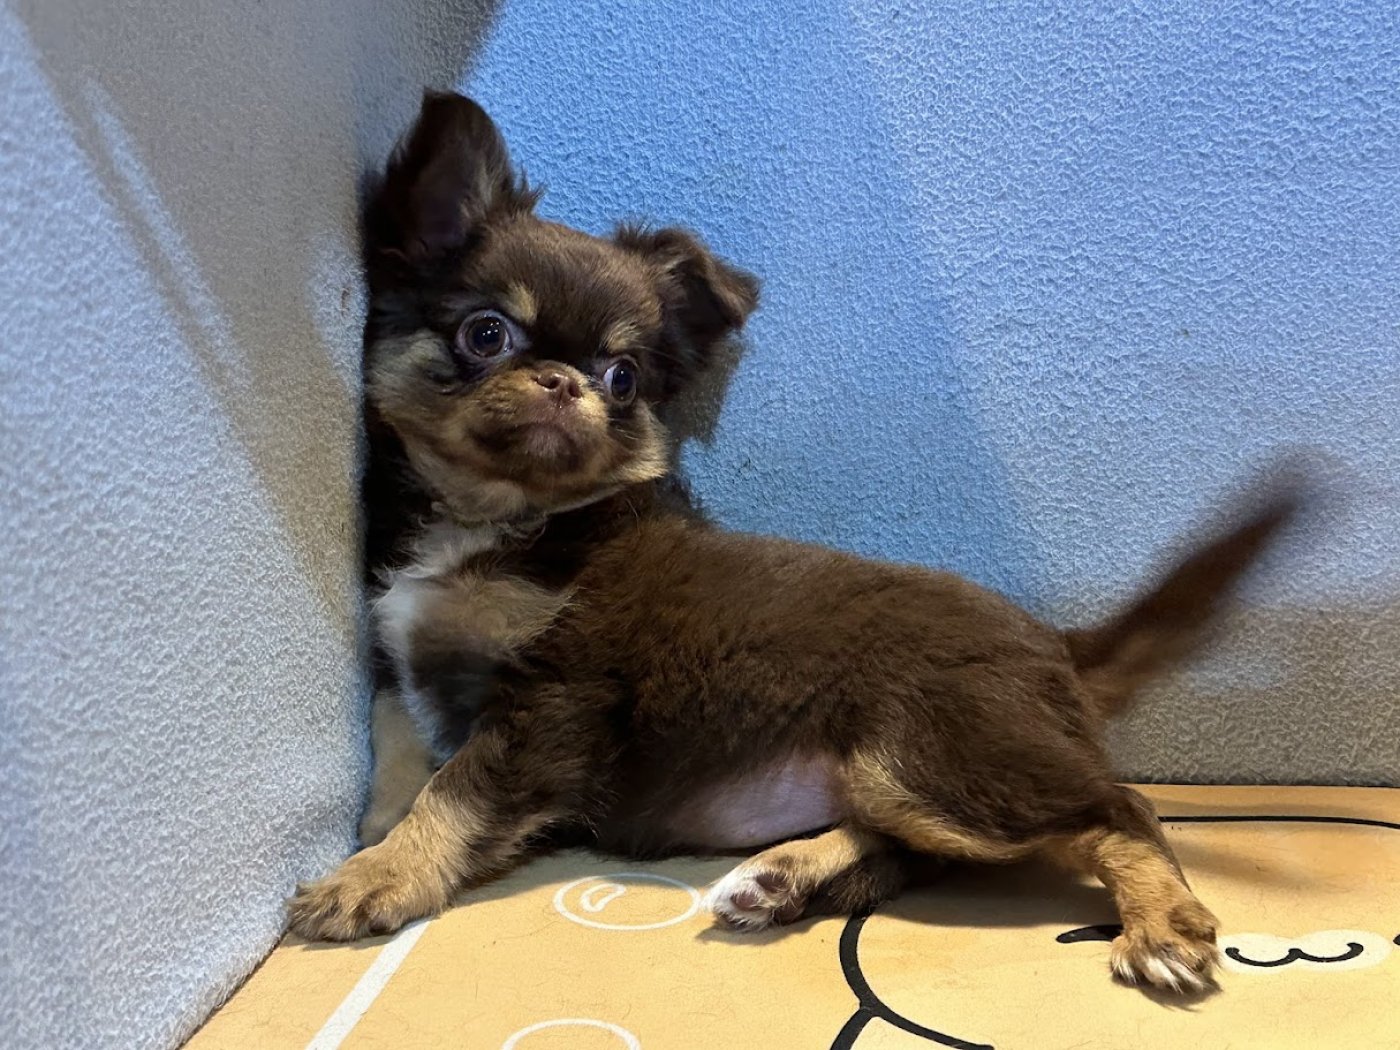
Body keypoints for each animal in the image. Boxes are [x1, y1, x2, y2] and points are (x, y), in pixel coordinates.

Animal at [289, 91, 1303, 995]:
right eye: (485, 333)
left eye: (623, 378)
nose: (564, 383)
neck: (501, 517)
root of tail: (1052, 643)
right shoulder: (404, 654)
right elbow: (399, 736)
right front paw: (378, 827)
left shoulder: (549, 703)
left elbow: (457, 791)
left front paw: (376, 876)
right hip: (903, 779)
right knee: (913, 849)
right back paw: (782, 876)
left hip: (932, 757)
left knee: (1119, 808)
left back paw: (1161, 926)